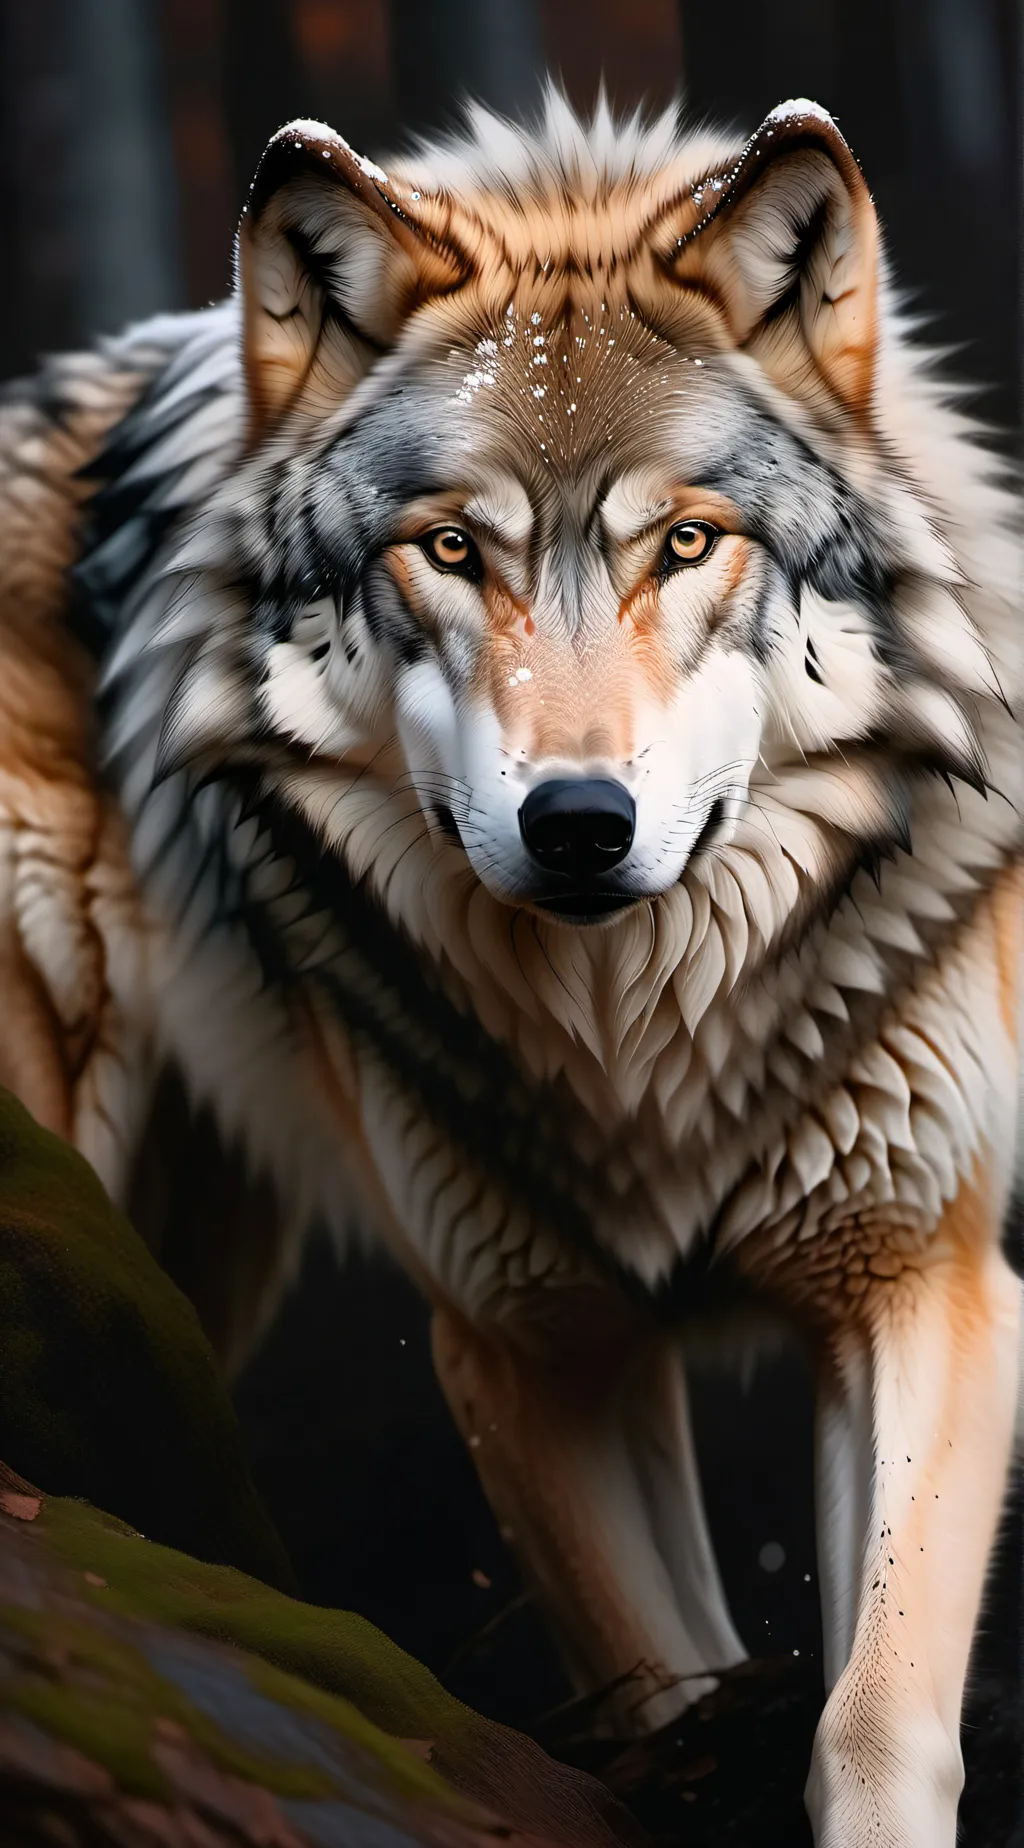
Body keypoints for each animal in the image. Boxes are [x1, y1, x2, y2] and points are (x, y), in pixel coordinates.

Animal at [0, 89, 1020, 1845]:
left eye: (686, 541)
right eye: (452, 551)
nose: (579, 825)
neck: (639, 1050)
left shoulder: (920, 1279)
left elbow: (870, 1713)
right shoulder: (526, 1346)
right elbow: (665, 1686)